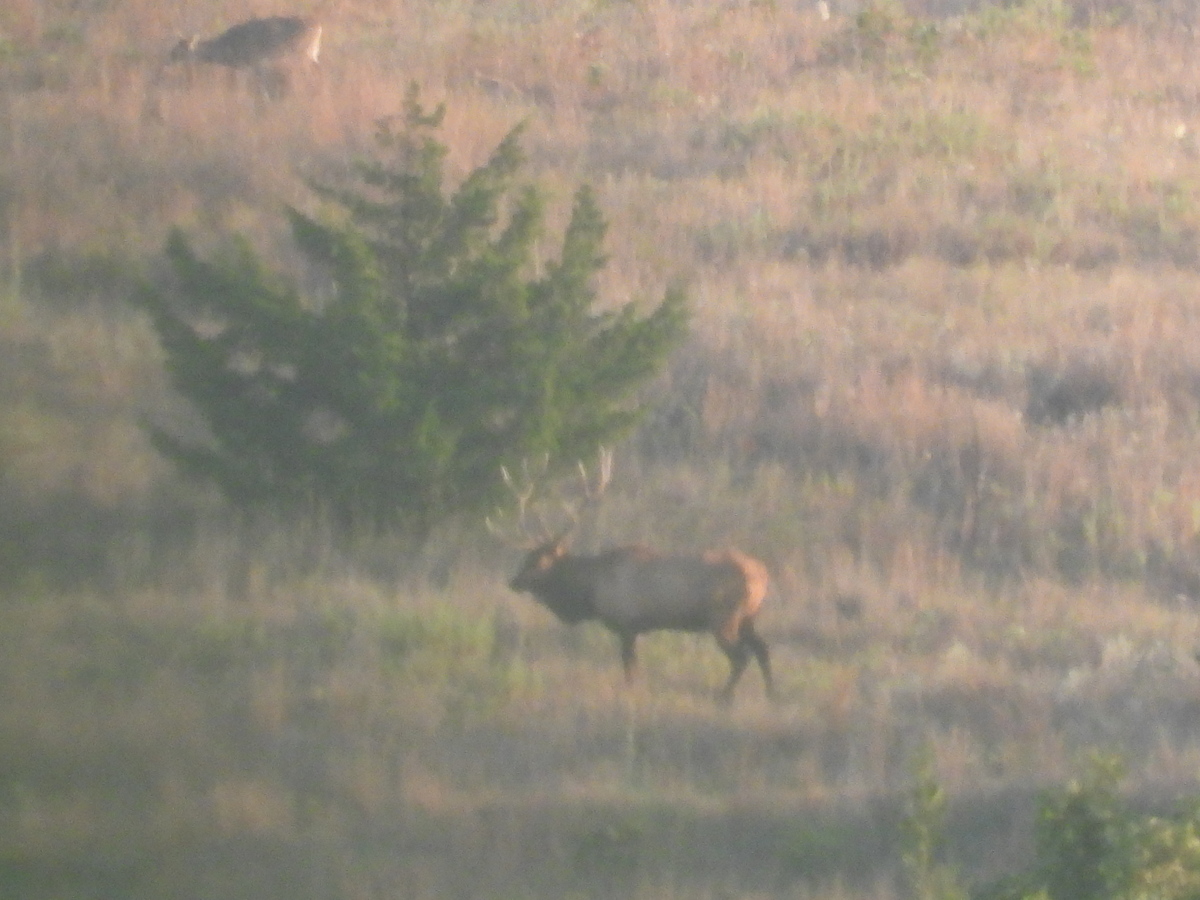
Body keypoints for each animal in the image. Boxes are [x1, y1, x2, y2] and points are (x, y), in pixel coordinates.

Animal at [163, 15, 322, 98]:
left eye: (179, 51)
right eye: (175, 48)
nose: (169, 58)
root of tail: (319, 26)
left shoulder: (253, 63)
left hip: (302, 55)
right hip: (310, 55)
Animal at [490, 449, 775, 703]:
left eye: (538, 561)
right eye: (526, 558)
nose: (513, 582)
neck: (591, 589)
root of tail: (762, 574)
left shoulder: (626, 624)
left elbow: (629, 668)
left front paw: (631, 694)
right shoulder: (634, 629)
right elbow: (634, 667)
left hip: (723, 618)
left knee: (741, 656)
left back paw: (725, 697)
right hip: (749, 616)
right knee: (763, 648)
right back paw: (772, 695)